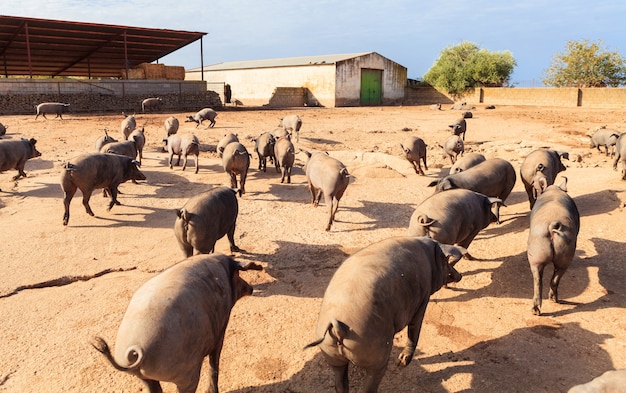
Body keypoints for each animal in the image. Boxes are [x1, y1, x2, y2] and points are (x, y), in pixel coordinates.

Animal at [91, 251, 260, 392]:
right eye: (238, 274)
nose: (251, 288)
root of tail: (137, 348)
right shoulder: (221, 327)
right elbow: (214, 363)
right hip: (186, 374)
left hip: (143, 377)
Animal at [304, 236, 460, 392]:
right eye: (446, 261)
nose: (459, 276)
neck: (429, 258)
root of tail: (338, 326)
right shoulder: (423, 297)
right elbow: (415, 328)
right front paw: (402, 362)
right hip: (373, 350)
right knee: (371, 381)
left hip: (330, 352)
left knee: (340, 381)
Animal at [524, 179, 576, 314]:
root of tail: (552, 225)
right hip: (563, 254)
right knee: (553, 278)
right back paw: (552, 300)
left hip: (538, 252)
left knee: (540, 280)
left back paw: (537, 309)